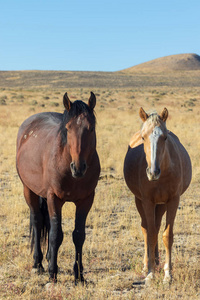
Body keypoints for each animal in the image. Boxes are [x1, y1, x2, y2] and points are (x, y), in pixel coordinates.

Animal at [15, 91, 101, 284]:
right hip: (29, 190)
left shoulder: (86, 200)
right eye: (68, 128)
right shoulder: (54, 198)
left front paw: (79, 276)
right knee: (38, 221)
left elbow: (78, 235)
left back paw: (47, 259)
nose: (78, 167)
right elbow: (56, 235)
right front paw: (52, 273)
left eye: (91, 128)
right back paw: (38, 264)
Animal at [123, 107, 192, 284]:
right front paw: (150, 273)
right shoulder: (147, 201)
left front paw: (168, 274)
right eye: (143, 137)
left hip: (161, 205)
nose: (153, 172)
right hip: (140, 201)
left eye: (165, 136)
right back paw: (147, 264)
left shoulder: (173, 201)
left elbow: (167, 235)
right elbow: (151, 234)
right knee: (146, 229)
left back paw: (157, 261)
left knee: (157, 225)